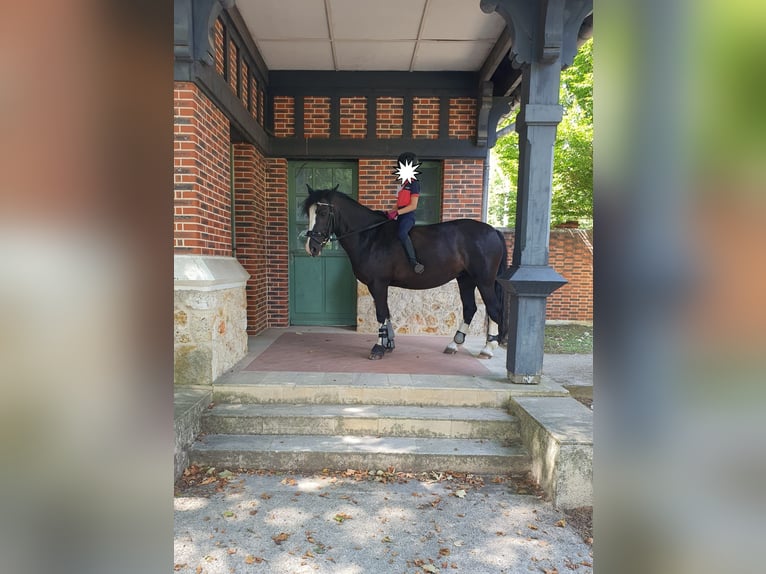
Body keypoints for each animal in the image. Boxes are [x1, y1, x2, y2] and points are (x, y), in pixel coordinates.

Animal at [304, 188, 508, 360]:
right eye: (309, 213)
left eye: (322, 213)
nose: (311, 247)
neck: (370, 237)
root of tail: (494, 231)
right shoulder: (379, 285)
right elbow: (386, 313)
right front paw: (388, 343)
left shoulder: (378, 284)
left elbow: (381, 314)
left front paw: (378, 348)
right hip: (466, 279)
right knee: (470, 308)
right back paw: (454, 344)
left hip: (484, 281)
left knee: (493, 308)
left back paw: (488, 348)